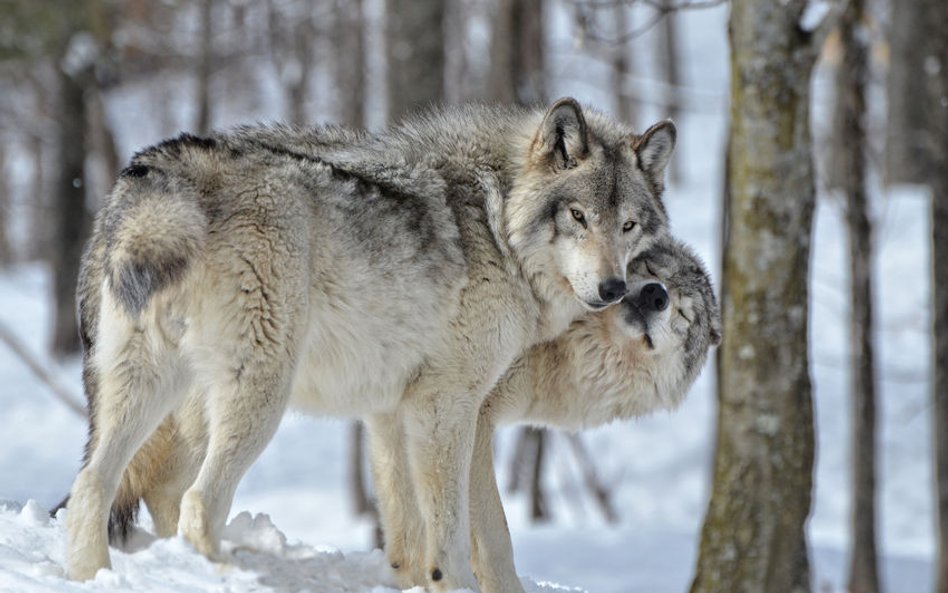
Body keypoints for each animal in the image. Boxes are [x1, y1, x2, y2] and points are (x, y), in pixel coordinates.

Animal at [65, 96, 672, 588]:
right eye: (578, 216)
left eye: (628, 226)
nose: (614, 288)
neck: (497, 224)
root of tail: (156, 171)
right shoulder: (446, 407)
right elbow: (451, 535)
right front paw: (451, 581)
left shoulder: (393, 411)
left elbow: (413, 535)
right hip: (258, 395)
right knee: (197, 502)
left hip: (151, 386)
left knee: (95, 483)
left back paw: (90, 576)